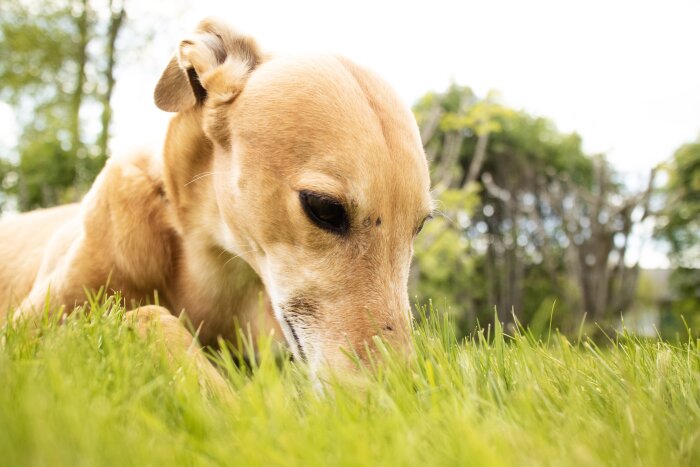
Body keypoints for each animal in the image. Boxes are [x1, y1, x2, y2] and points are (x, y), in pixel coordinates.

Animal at [0, 18, 432, 374]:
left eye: (420, 226)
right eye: (323, 208)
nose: (393, 395)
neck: (209, 265)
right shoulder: (24, 336)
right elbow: (142, 315)